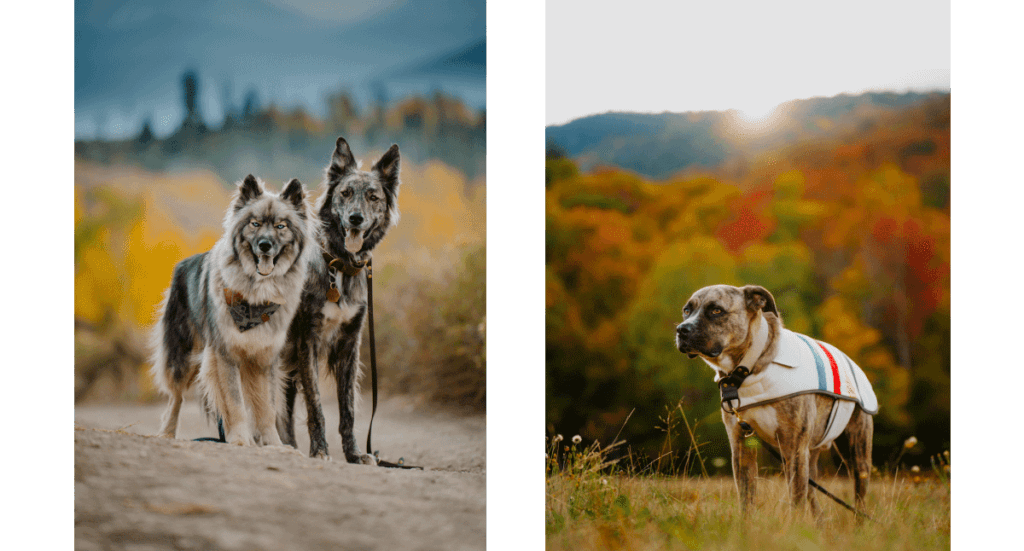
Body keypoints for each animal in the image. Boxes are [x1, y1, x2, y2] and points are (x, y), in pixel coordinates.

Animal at [675, 282, 876, 514]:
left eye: (716, 310)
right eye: (686, 310)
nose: (681, 329)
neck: (747, 369)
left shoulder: (794, 449)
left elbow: (795, 502)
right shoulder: (741, 447)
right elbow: (747, 499)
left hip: (857, 453)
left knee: (859, 501)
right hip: (811, 455)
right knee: (814, 499)